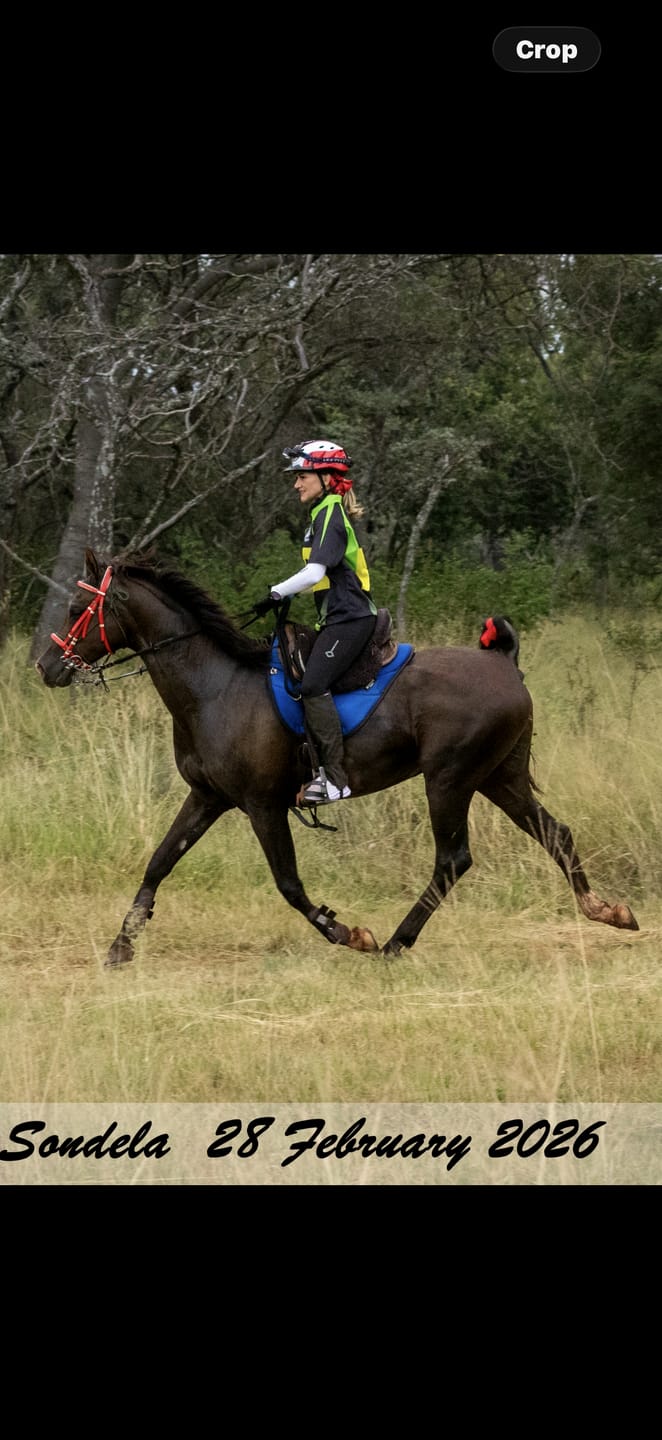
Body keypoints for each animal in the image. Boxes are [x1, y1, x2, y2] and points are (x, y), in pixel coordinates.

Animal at [35, 549, 639, 965]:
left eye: (77, 607)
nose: (46, 666)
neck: (214, 687)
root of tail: (503, 664)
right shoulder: (207, 797)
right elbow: (160, 861)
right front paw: (122, 944)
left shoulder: (262, 805)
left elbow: (289, 884)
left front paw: (348, 933)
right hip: (498, 777)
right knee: (555, 834)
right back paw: (606, 910)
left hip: (449, 780)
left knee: (453, 859)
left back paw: (394, 943)